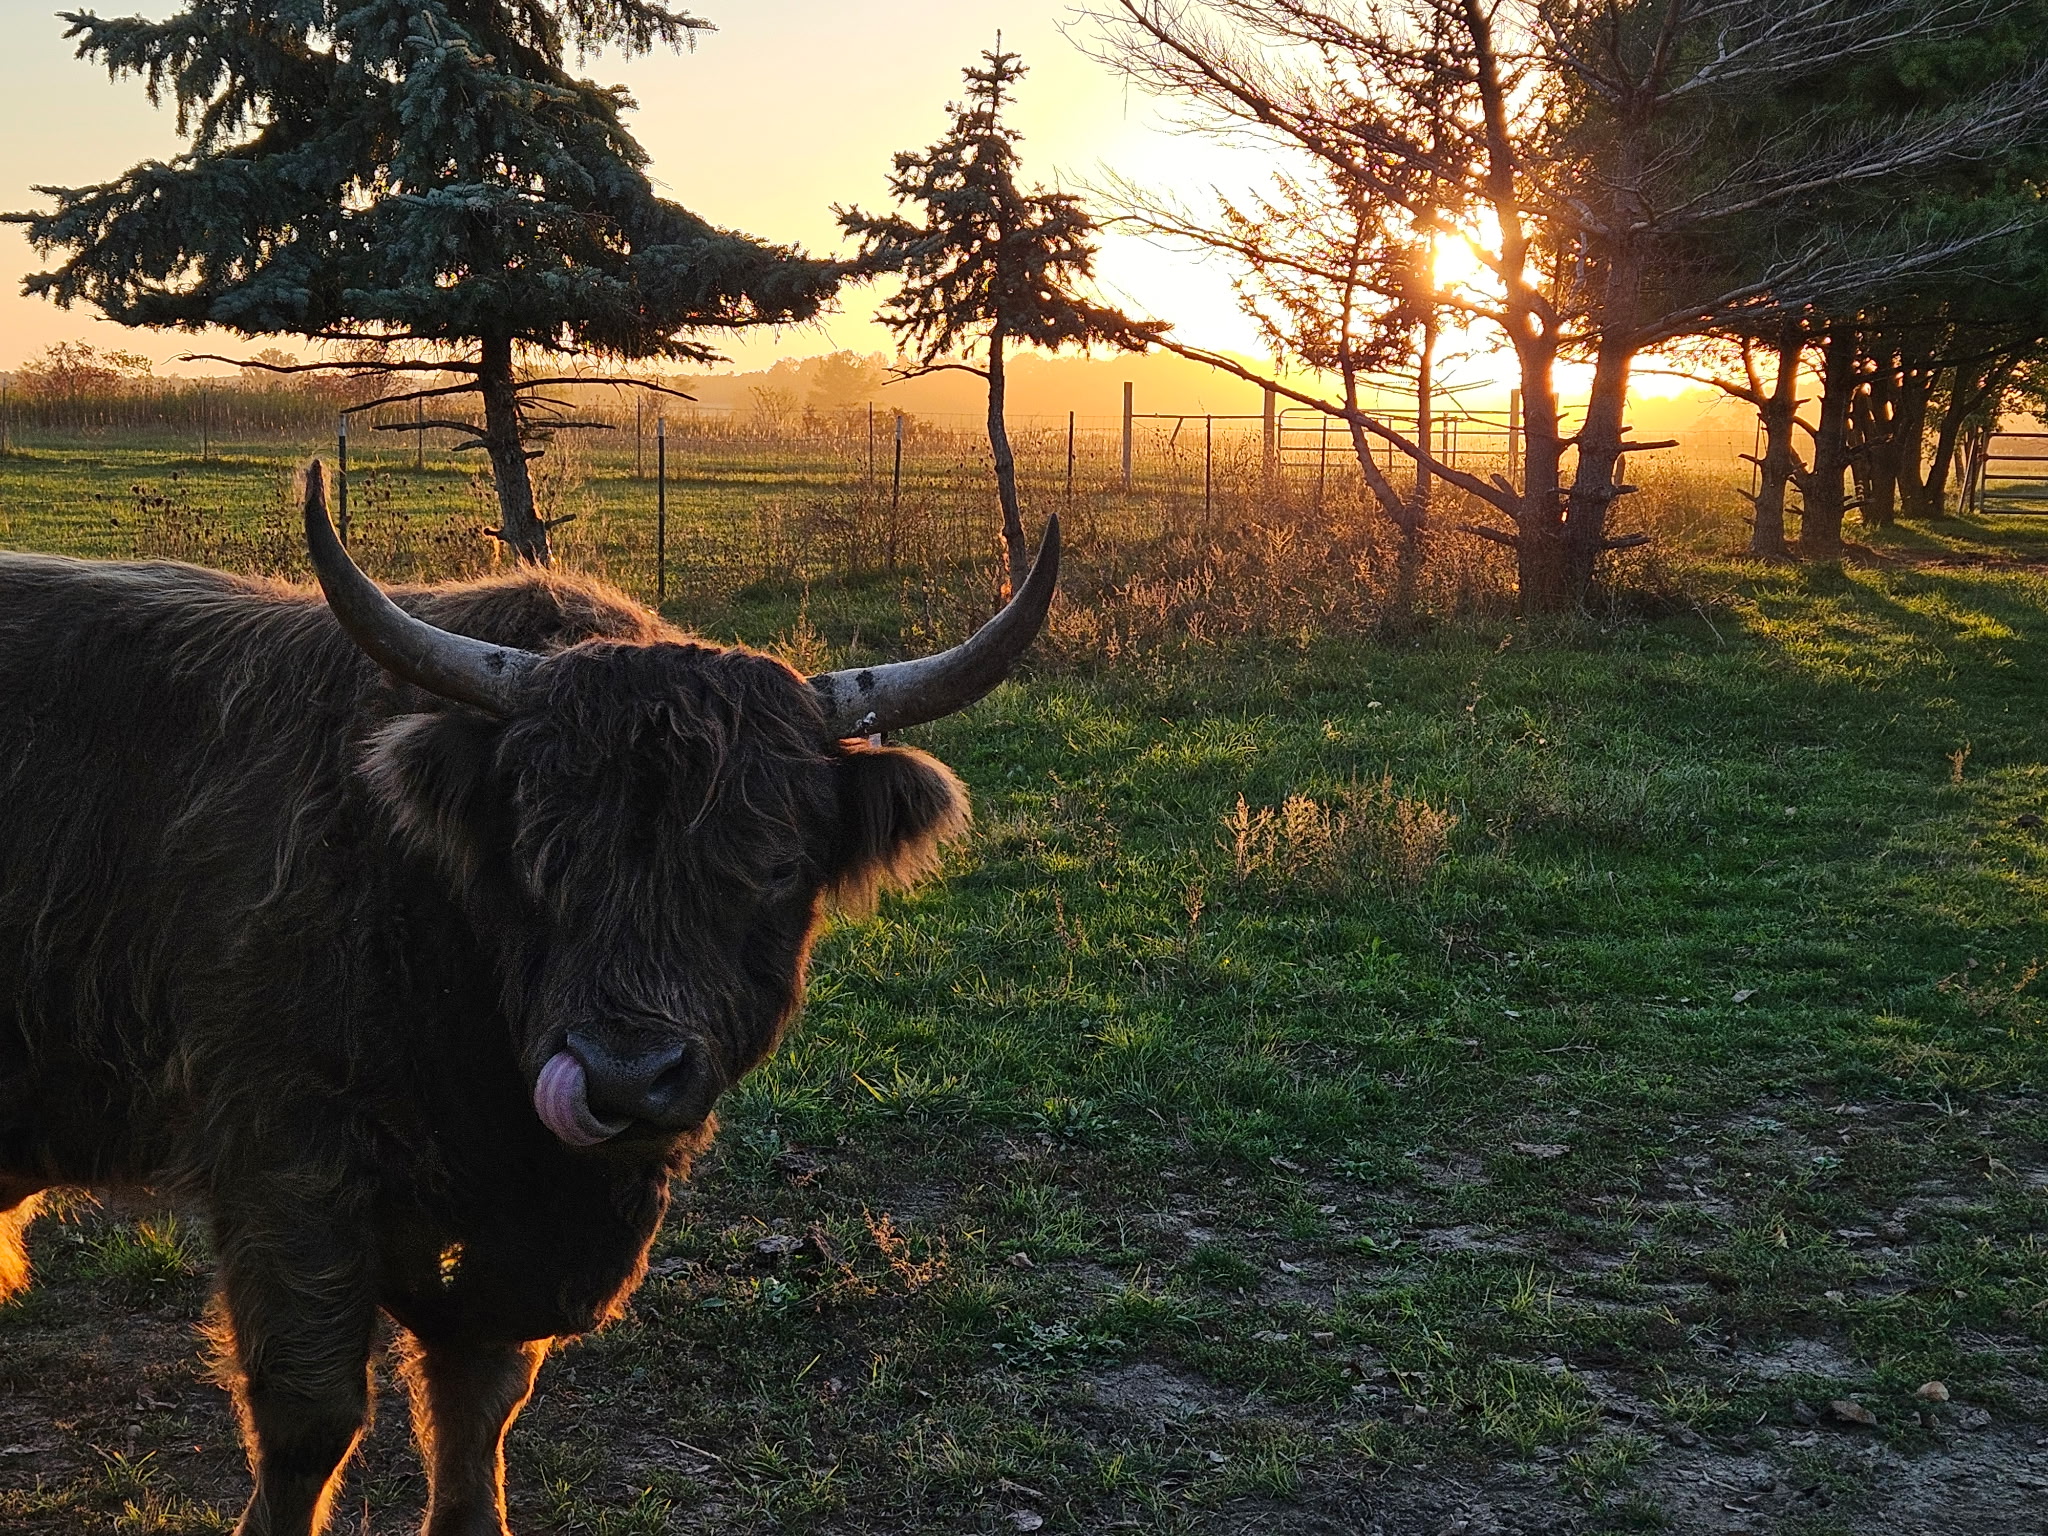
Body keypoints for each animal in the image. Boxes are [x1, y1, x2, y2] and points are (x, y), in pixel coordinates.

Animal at [0, 463, 1058, 1536]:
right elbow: (311, 1418)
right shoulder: (285, 1166)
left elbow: (483, 1401)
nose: (626, 1078)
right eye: (541, 852)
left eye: (772, 867)